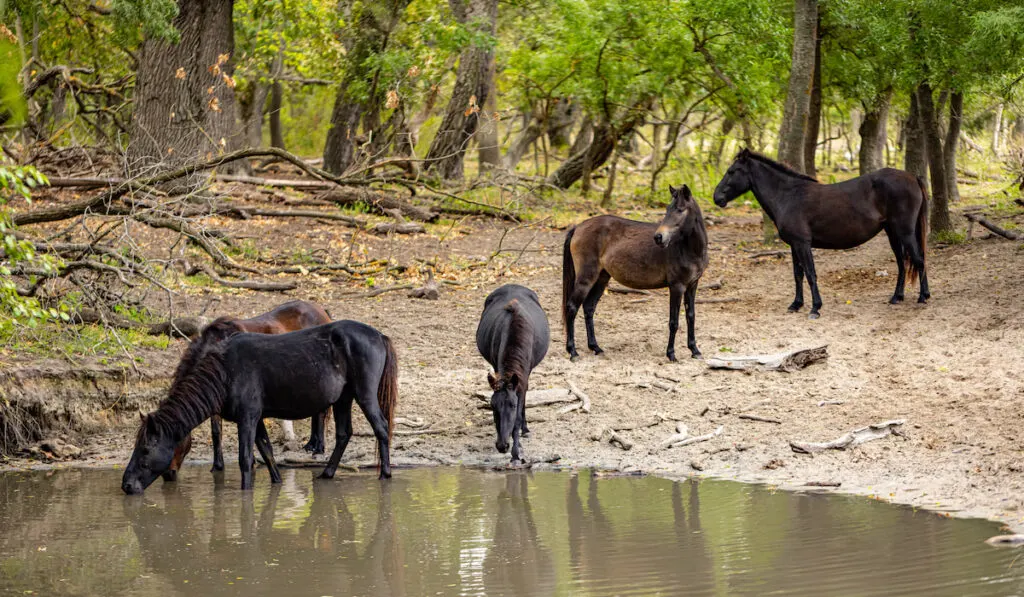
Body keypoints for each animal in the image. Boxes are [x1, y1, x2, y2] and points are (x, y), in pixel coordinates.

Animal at [121, 321, 397, 495]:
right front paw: (277, 482)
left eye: (145, 449)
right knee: (343, 434)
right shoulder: (258, 418)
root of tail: (379, 335)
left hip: (364, 394)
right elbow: (267, 451)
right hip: (343, 399)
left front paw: (246, 493)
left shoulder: (248, 418)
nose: (126, 485)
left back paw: (385, 474)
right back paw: (327, 474)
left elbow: (246, 459)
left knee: (381, 428)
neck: (225, 373)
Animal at [162, 299, 331, 481]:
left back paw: (318, 448)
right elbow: (216, 432)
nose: (168, 474)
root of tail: (321, 310)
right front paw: (218, 465)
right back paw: (311, 444)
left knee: (321, 413)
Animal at [473, 284, 548, 462]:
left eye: (512, 405)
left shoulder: (523, 378)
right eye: (492, 405)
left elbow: (518, 415)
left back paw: (525, 430)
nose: (502, 446)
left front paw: (516, 451)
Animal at [565, 184, 708, 362]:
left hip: (601, 278)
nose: (659, 237)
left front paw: (694, 350)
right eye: (668, 209)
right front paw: (671, 354)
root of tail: (578, 227)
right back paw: (573, 352)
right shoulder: (677, 286)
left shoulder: (692, 285)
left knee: (588, 308)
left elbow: (691, 316)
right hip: (586, 278)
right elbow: (674, 322)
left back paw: (596, 347)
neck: (690, 250)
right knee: (572, 307)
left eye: (680, 210)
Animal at [712, 149, 929, 317]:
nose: (716, 197)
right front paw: (796, 304)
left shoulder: (803, 244)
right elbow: (797, 274)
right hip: (893, 232)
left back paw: (923, 297)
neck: (789, 196)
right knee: (902, 263)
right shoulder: (794, 245)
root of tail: (912, 177)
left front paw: (815, 308)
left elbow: (810, 273)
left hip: (905, 231)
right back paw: (897, 297)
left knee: (918, 259)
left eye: (732, 171)